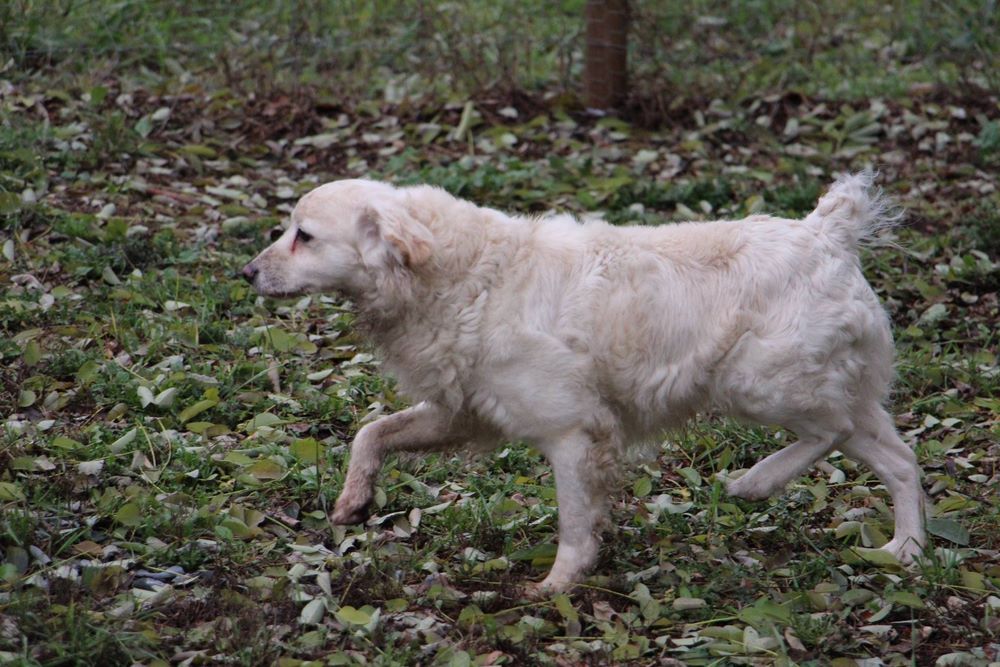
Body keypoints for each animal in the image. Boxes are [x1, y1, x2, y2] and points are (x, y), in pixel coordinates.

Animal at [242, 172, 925, 592]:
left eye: (304, 236)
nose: (246, 272)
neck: (466, 274)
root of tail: (824, 232)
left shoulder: (571, 432)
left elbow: (573, 524)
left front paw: (557, 586)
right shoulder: (462, 412)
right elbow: (372, 431)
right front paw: (353, 502)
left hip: (760, 382)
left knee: (829, 430)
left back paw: (756, 481)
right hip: (832, 392)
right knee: (901, 462)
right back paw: (907, 550)